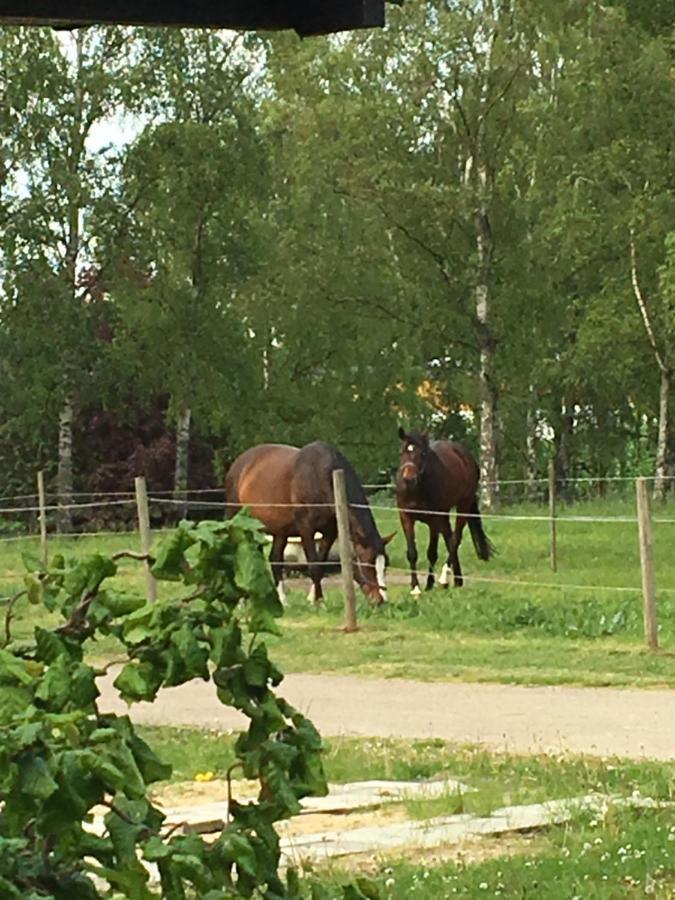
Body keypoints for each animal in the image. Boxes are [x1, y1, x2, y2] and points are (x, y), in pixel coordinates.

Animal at [224, 442, 394, 604]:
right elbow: (313, 564)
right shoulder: (306, 529)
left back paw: (282, 600)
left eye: (385, 565)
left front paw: (314, 598)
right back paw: (242, 601)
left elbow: (321, 562)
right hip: (238, 521)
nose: (381, 600)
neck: (321, 475)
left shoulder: (329, 532)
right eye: (367, 565)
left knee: (275, 559)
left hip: (278, 531)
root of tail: (239, 463)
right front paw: (317, 601)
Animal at [394, 428, 494, 596]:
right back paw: (457, 580)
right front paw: (415, 588)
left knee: (455, 539)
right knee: (449, 538)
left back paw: (444, 579)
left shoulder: (434, 520)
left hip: (463, 505)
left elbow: (432, 553)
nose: (409, 479)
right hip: (445, 514)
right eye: (402, 452)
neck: (417, 490)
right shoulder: (406, 517)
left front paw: (429, 584)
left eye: (422, 453)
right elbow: (412, 553)